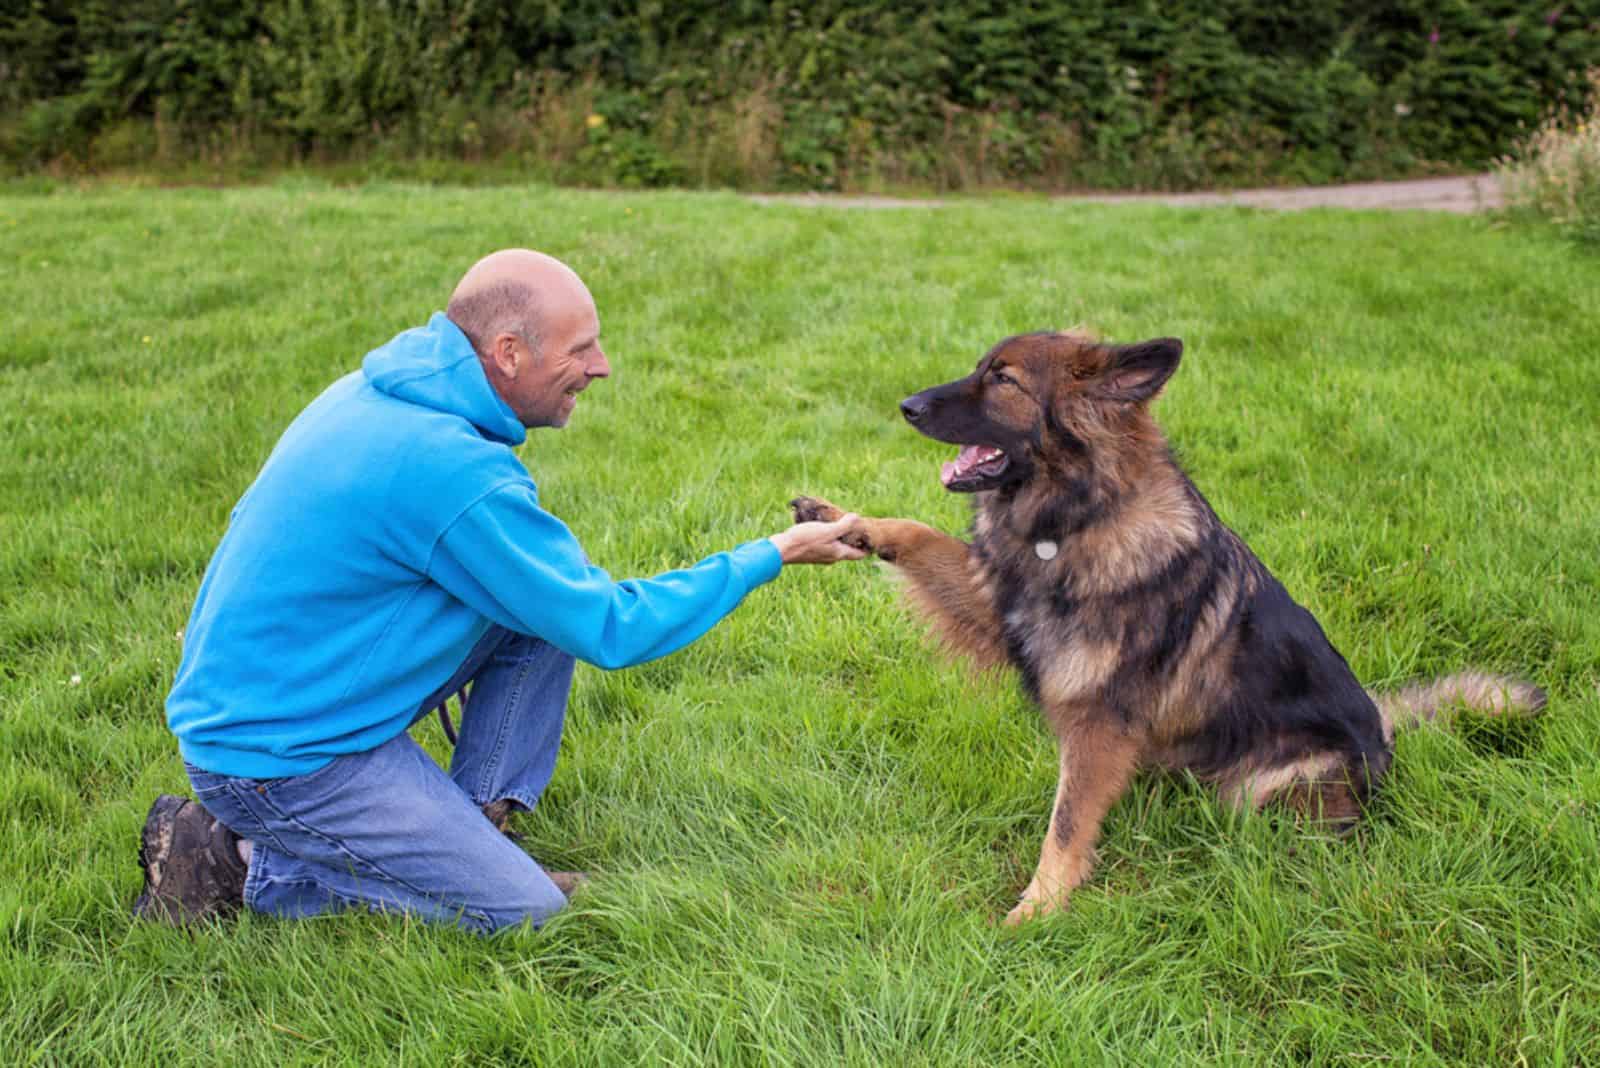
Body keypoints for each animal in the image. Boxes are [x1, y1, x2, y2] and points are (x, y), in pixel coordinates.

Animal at [793, 329, 1542, 920]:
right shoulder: (996, 604)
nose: (906, 406)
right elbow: (917, 534)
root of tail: (1384, 732)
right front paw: (845, 524)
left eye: (1003, 379)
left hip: (1262, 789)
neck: (1077, 519)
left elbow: (1067, 824)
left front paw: (1037, 910)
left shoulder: (1099, 719)